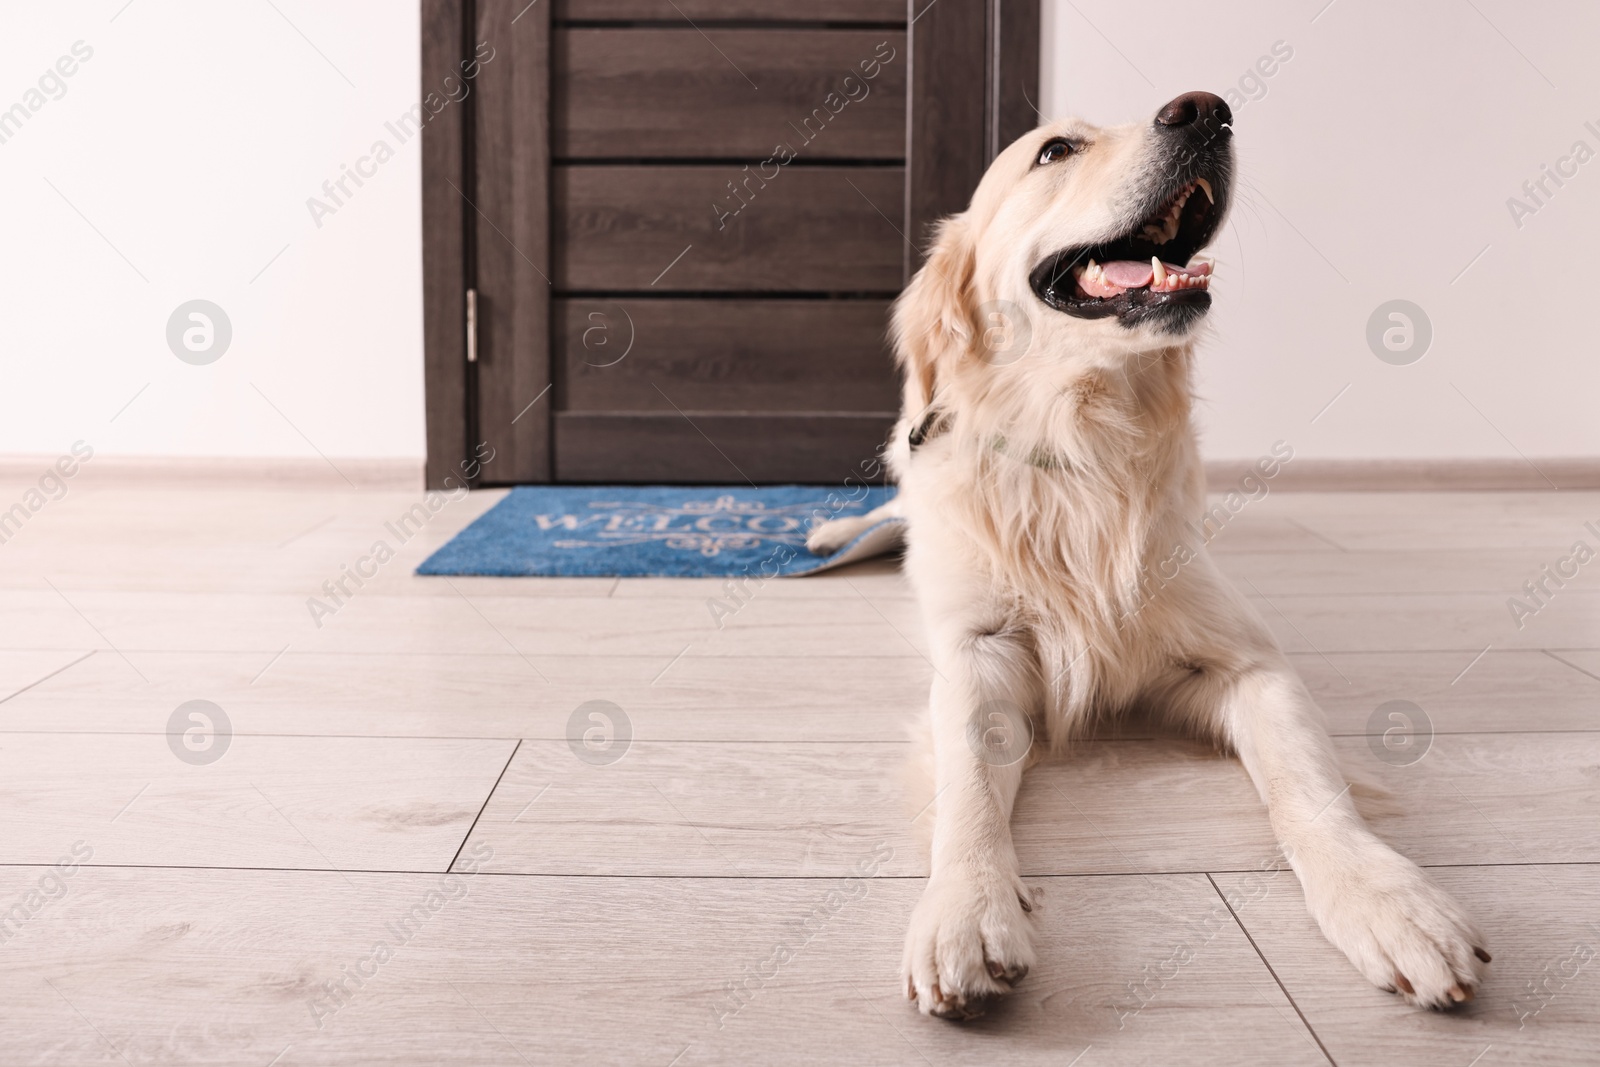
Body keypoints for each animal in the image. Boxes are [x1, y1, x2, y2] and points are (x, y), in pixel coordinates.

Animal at [812, 95, 1484, 1023]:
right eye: (1055, 150)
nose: (1204, 111)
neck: (1083, 441)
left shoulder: (1250, 662)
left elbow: (1310, 786)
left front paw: (1389, 900)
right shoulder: (978, 652)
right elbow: (970, 792)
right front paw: (967, 909)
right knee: (891, 515)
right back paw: (826, 540)